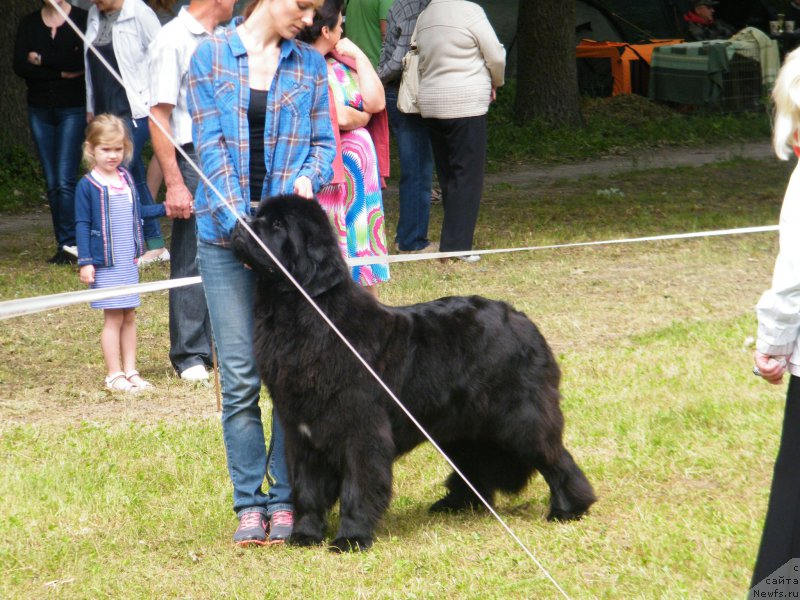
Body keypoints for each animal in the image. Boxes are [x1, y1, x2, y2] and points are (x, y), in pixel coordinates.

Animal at [231, 196, 592, 552]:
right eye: (258, 213)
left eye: (278, 224)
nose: (238, 222)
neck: (303, 314)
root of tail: (522, 319)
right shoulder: (301, 432)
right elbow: (307, 489)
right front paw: (305, 535)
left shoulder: (361, 430)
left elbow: (357, 487)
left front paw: (351, 538)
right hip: (461, 425)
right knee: (474, 463)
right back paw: (458, 504)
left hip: (519, 417)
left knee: (555, 458)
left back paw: (570, 508)